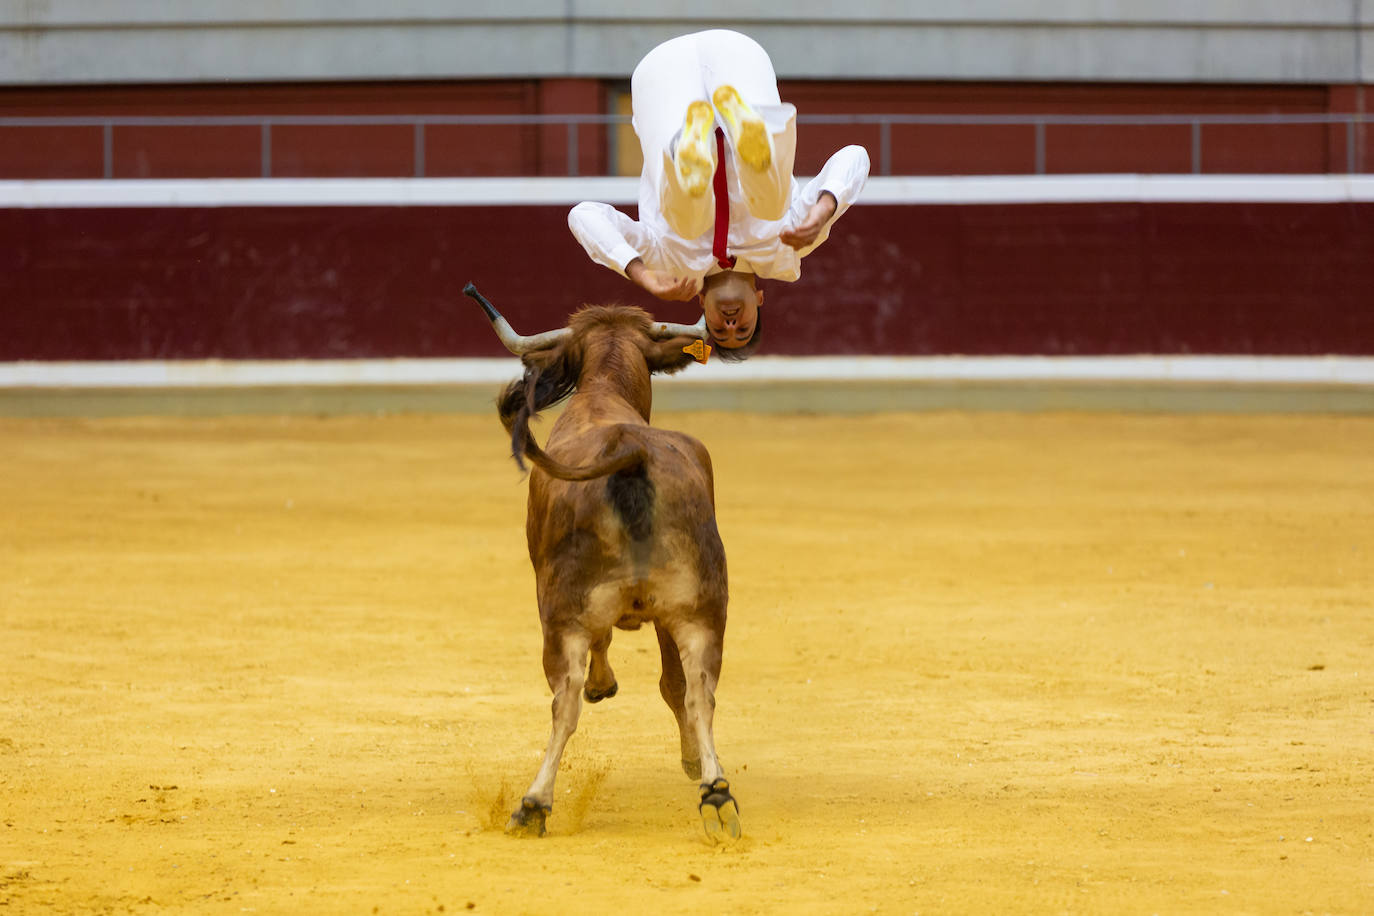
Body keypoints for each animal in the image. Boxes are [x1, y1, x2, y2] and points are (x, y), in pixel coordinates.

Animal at [464, 282, 736, 840]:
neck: (604, 394)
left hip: (563, 614)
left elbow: (604, 652)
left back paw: (534, 804)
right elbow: (675, 685)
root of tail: (631, 458)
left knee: (564, 701)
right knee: (700, 691)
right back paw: (716, 792)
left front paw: (602, 685)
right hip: (700, 608)